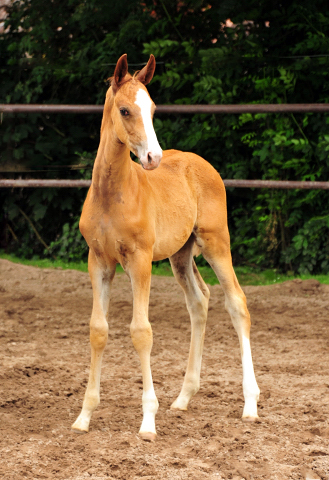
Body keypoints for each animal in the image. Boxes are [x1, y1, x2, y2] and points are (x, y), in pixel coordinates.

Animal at [71, 54, 258, 440]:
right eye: (125, 110)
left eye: (153, 108)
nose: (152, 158)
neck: (113, 193)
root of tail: (201, 163)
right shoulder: (99, 261)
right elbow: (99, 330)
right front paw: (84, 416)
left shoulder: (140, 260)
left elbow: (141, 332)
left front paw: (147, 422)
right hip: (181, 255)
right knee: (199, 302)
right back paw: (184, 397)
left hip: (216, 242)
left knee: (237, 302)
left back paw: (250, 404)